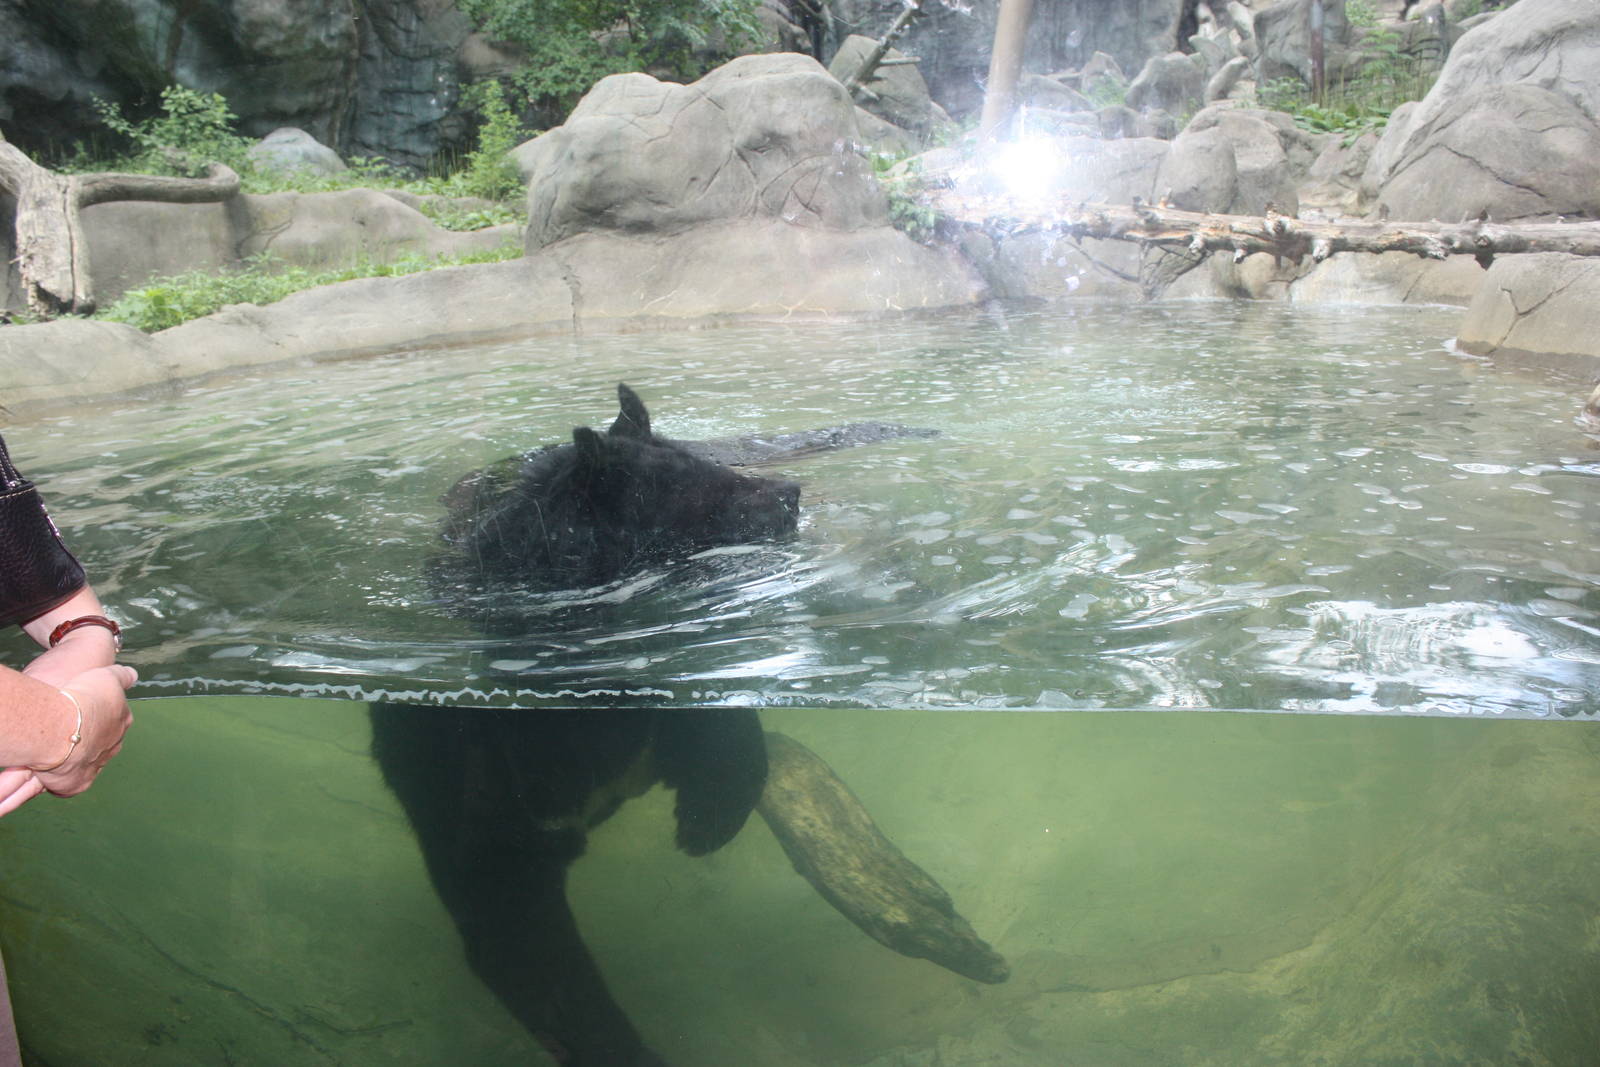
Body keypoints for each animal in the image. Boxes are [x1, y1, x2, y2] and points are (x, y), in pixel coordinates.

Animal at [370, 384, 808, 1066]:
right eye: (705, 490)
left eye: (714, 465)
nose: (793, 493)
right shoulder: (486, 793)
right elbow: (526, 941)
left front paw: (708, 817)